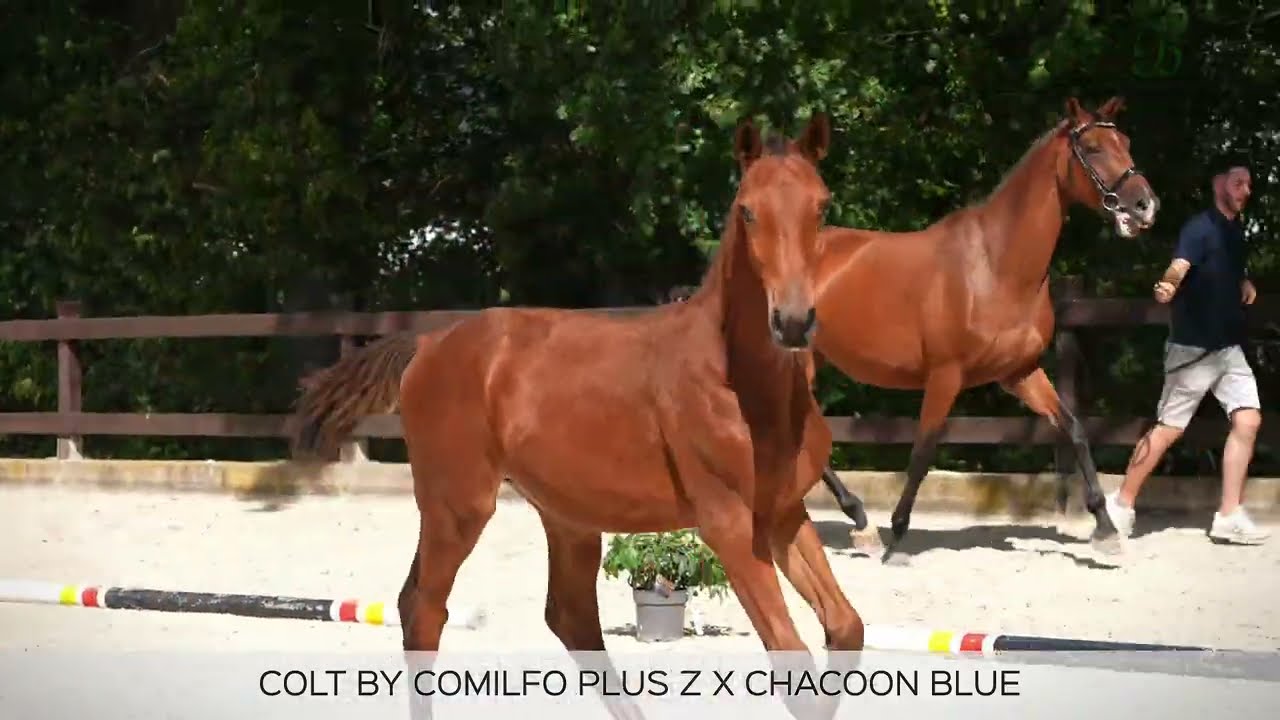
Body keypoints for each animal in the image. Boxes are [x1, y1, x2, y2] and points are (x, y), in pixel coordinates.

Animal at [291, 113, 862, 720]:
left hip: (567, 515)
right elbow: (794, 661)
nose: (794, 322)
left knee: (567, 616)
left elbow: (845, 628)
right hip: (458, 505)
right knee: (423, 607)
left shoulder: (782, 513)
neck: (739, 382)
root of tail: (428, 344)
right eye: (748, 210)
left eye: (821, 206)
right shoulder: (727, 523)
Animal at [810, 96, 1160, 564]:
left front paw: (1105, 530)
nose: (1145, 206)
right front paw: (898, 538)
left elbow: (1074, 430)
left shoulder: (1020, 372)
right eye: (1094, 148)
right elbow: (922, 451)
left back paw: (860, 523)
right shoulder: (945, 375)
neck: (995, 265)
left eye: (1126, 143)